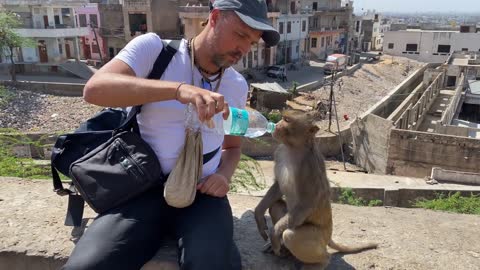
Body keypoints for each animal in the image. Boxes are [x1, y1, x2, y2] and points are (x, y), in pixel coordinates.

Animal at [253, 109, 376, 268]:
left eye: (287, 120)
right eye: (283, 118)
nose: (277, 124)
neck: (294, 148)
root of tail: (329, 235)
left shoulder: (309, 166)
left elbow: (307, 203)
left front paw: (274, 234)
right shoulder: (279, 153)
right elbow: (278, 187)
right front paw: (258, 214)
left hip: (319, 238)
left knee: (290, 235)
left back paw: (321, 262)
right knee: (275, 205)